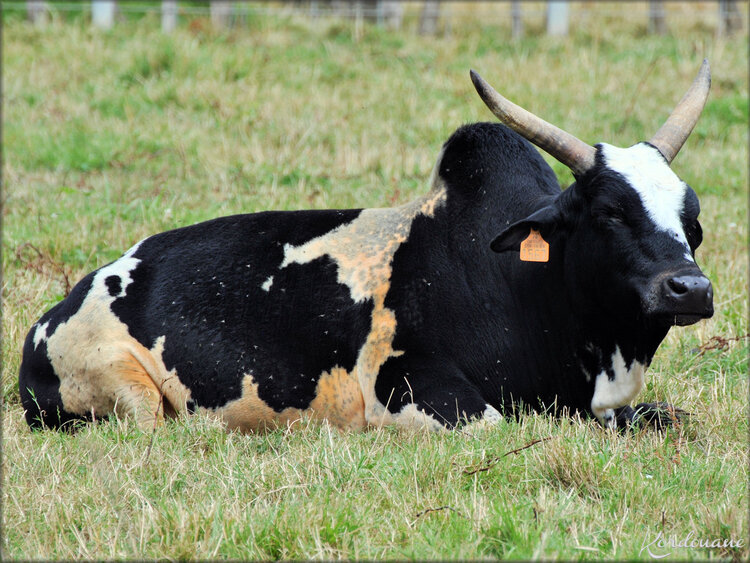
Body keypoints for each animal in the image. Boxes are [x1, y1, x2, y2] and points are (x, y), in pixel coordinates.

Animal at [16, 60, 712, 432]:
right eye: (609, 212)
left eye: (693, 218)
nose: (690, 289)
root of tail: (52, 315)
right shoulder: (412, 391)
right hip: (127, 391)